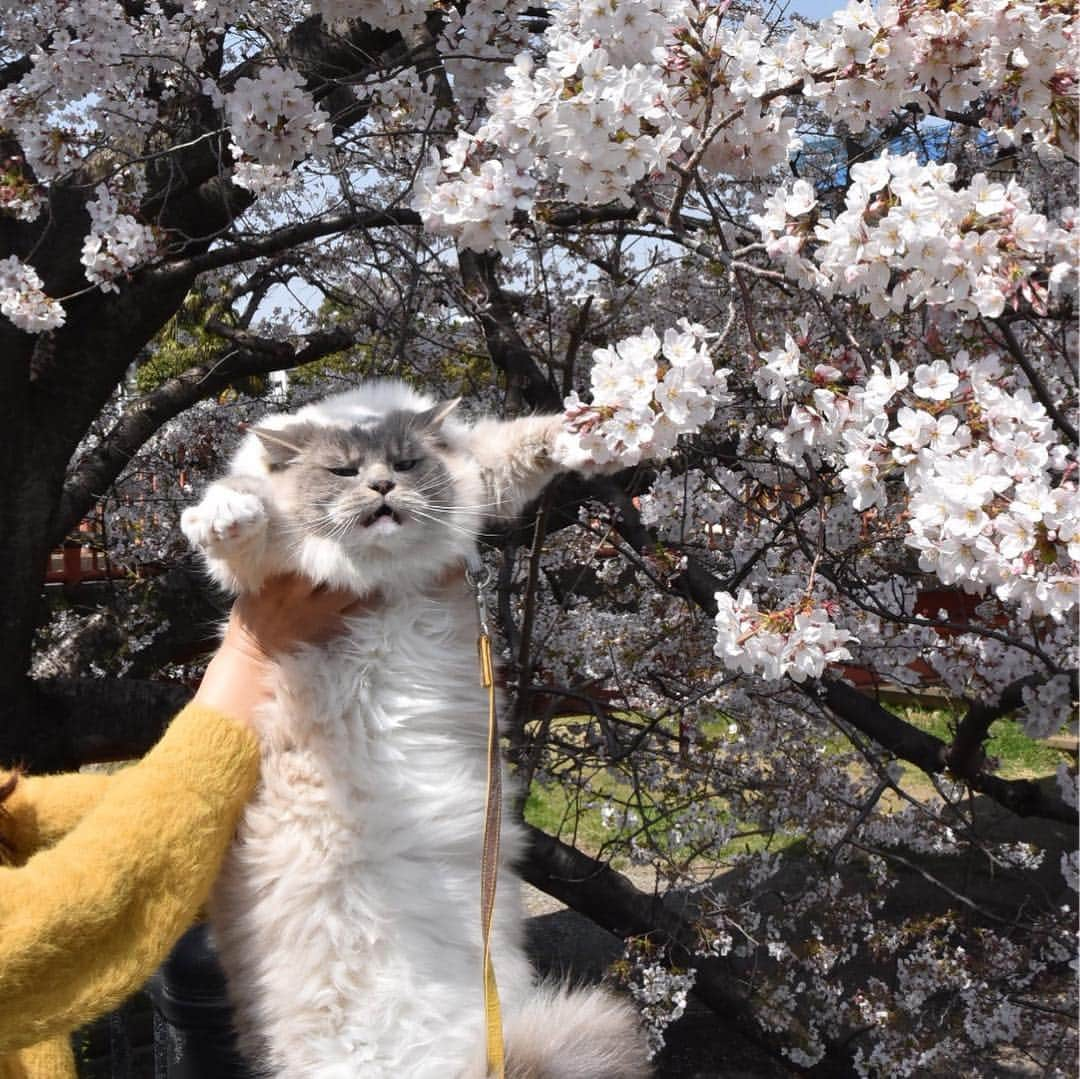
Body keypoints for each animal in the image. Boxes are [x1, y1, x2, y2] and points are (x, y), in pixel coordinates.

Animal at [182, 382, 648, 1079]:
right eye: (343, 472)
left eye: (403, 465)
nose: (381, 489)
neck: (383, 578)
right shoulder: (267, 571)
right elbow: (243, 514)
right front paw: (226, 514)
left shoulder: (480, 472)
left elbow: (527, 443)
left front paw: (589, 434)